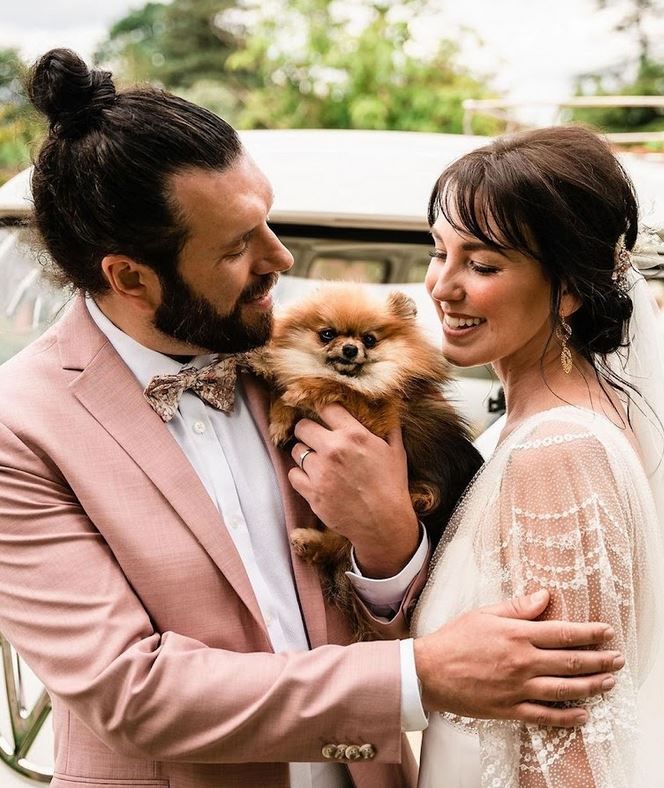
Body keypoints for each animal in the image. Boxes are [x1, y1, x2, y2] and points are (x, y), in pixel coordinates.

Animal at [249, 286, 482, 636]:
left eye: (369, 339)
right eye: (327, 334)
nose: (349, 349)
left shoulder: (375, 416)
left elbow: (340, 387)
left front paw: (304, 389)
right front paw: (279, 415)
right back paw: (309, 542)